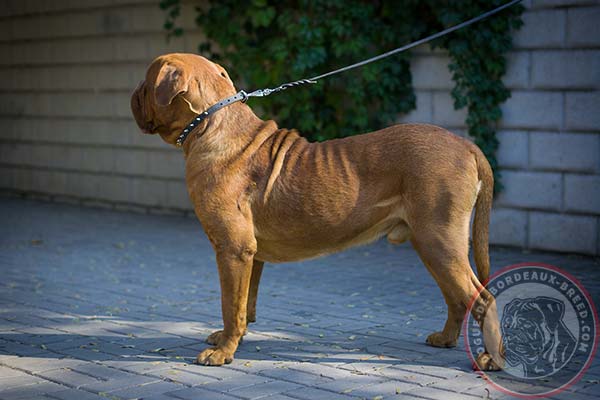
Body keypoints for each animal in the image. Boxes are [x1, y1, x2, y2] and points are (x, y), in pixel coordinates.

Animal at [132, 52, 506, 368]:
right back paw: (445, 339)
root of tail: (467, 145)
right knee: (457, 298)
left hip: (440, 241)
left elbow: (230, 305)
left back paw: (492, 358)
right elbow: (244, 303)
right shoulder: (251, 255)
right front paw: (229, 339)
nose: (132, 94)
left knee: (483, 299)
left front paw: (223, 352)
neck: (210, 125)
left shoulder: (233, 249)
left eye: (146, 82)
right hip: (430, 245)